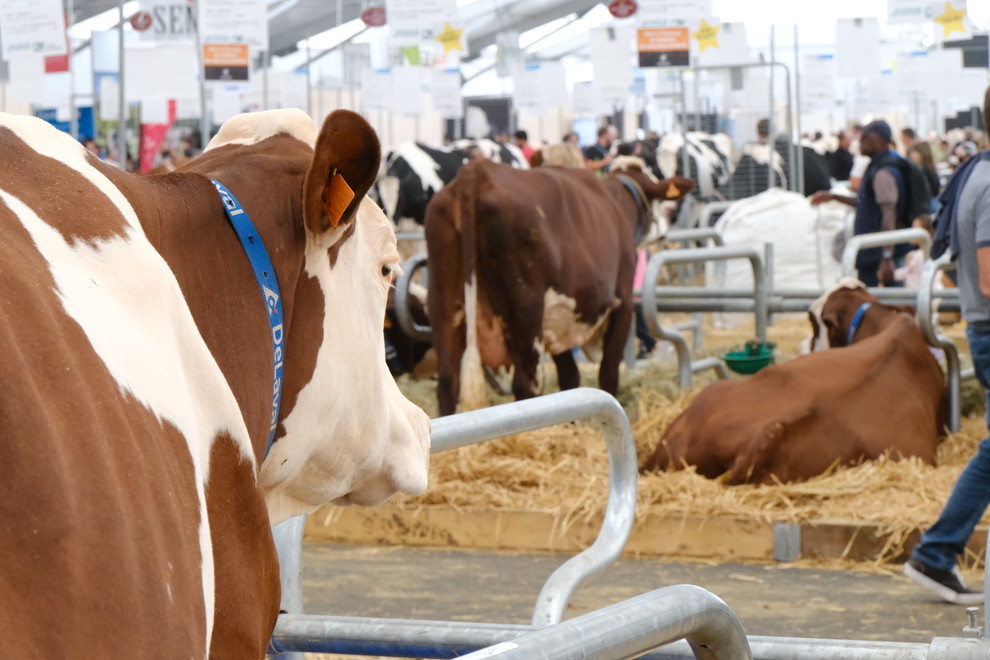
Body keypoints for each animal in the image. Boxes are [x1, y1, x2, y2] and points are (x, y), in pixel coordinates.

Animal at [426, 158, 696, 416]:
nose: (665, 228)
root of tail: (476, 172)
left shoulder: (556, 318)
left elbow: (569, 378)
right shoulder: (623, 303)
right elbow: (608, 373)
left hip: (444, 305)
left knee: (448, 381)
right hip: (526, 311)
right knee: (526, 384)